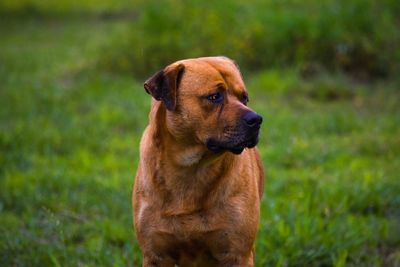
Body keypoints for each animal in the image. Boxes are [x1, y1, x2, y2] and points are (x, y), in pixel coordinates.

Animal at [134, 56, 266, 267]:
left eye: (244, 98)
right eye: (214, 97)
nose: (257, 119)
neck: (191, 167)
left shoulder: (238, 254)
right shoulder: (156, 254)